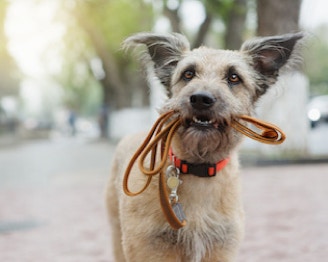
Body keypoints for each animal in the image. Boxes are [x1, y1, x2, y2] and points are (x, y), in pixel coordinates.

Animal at [106, 31, 304, 260]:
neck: (198, 169)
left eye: (234, 77)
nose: (201, 98)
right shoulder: (149, 248)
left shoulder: (220, 248)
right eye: (188, 74)